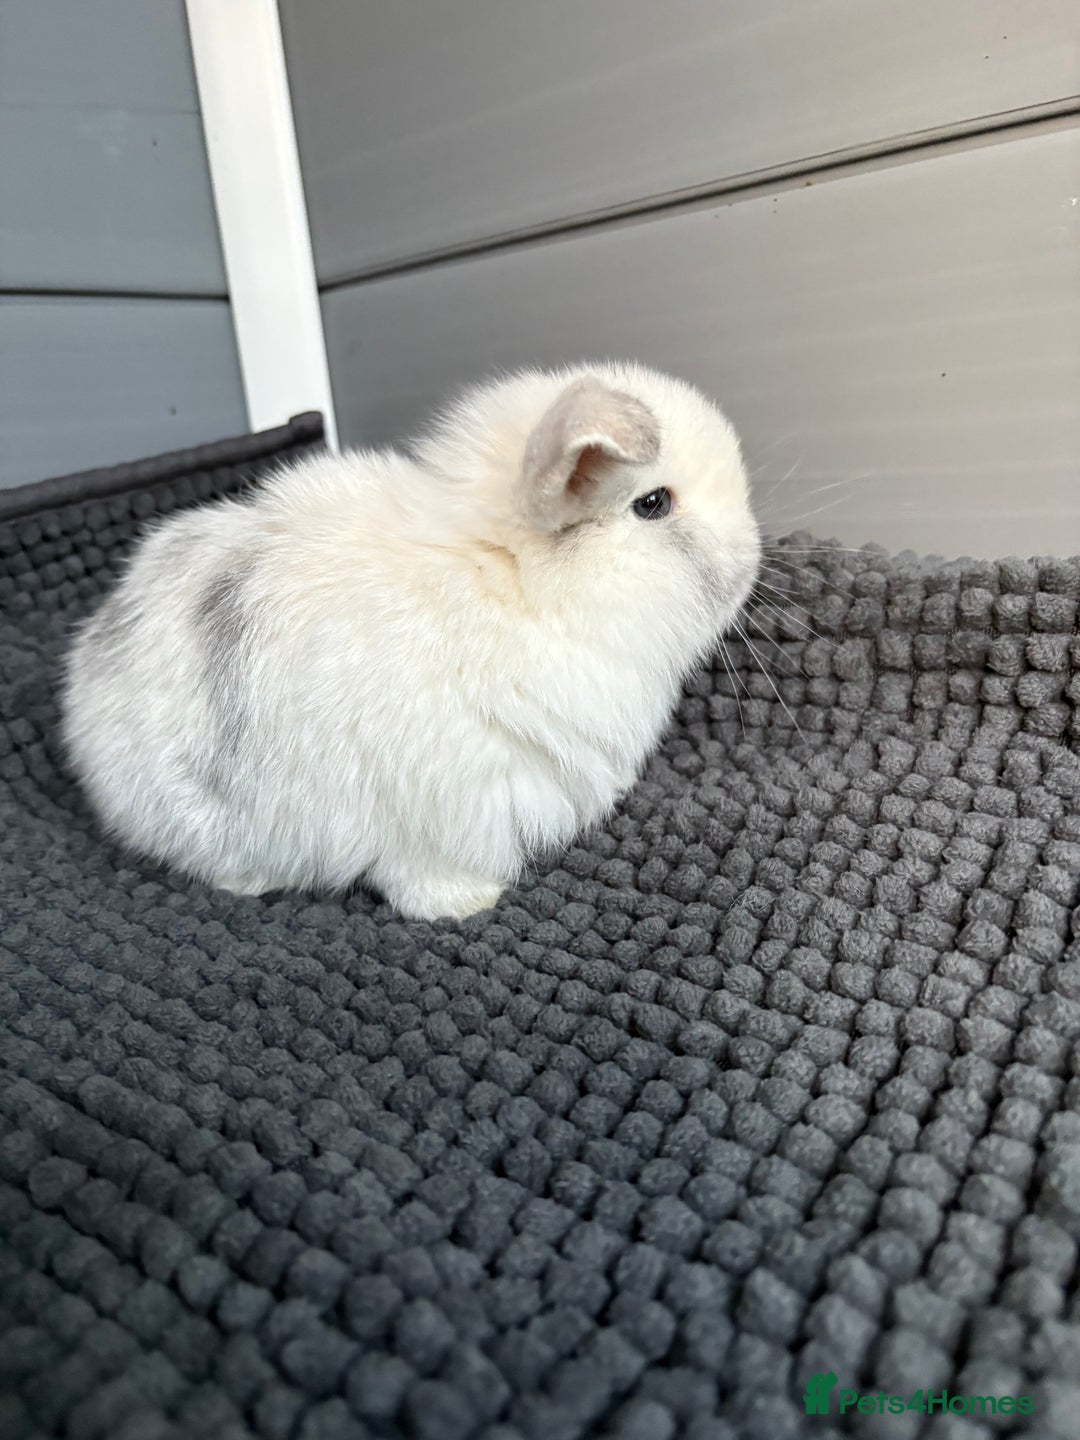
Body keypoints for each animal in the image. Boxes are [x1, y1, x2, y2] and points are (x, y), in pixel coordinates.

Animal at [61, 361, 761, 920]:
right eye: (653, 504)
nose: (751, 558)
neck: (507, 581)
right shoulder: (434, 811)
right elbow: (419, 873)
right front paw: (466, 905)